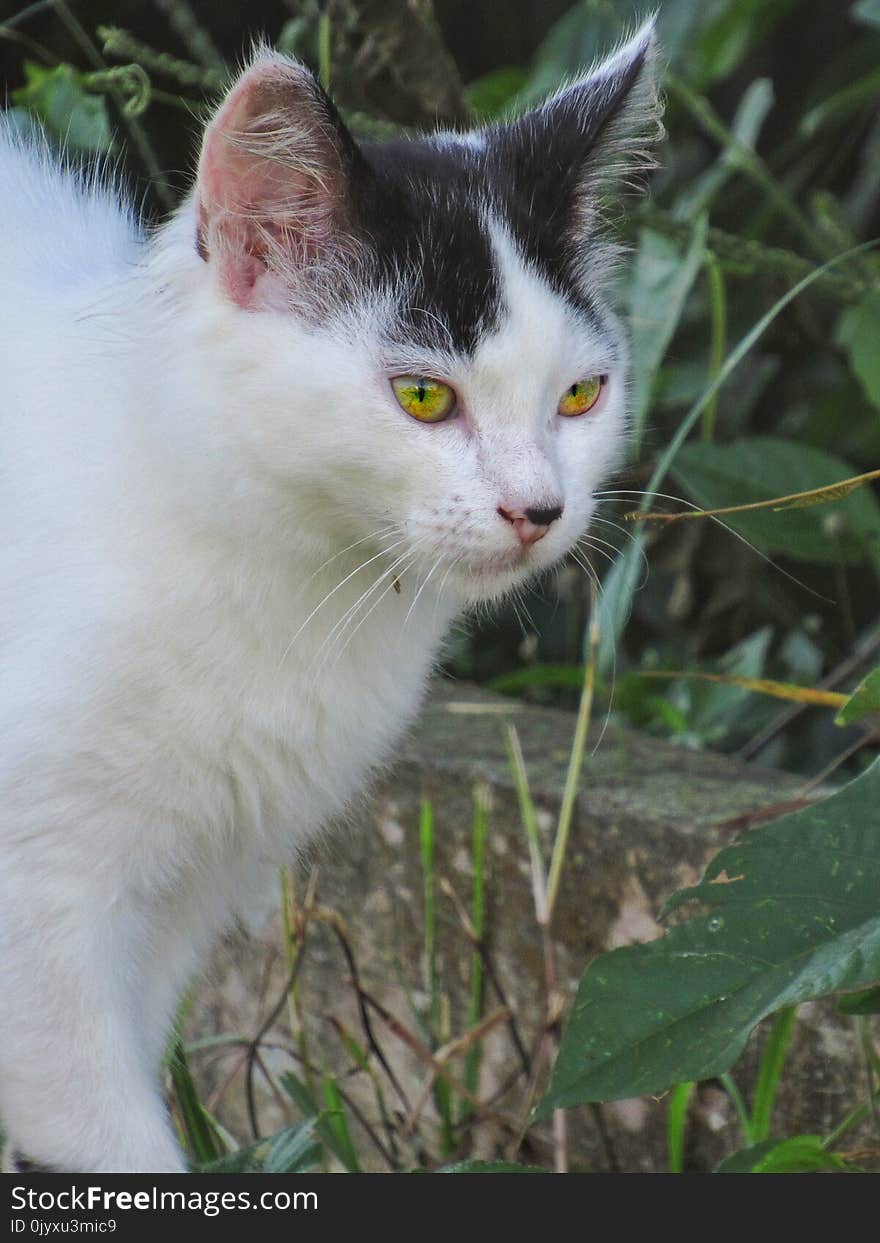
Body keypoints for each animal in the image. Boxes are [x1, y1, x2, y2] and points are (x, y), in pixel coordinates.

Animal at [0, 21, 661, 1173]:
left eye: (581, 395)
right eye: (424, 396)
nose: (538, 507)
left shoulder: (187, 893)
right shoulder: (36, 913)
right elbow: (107, 1134)